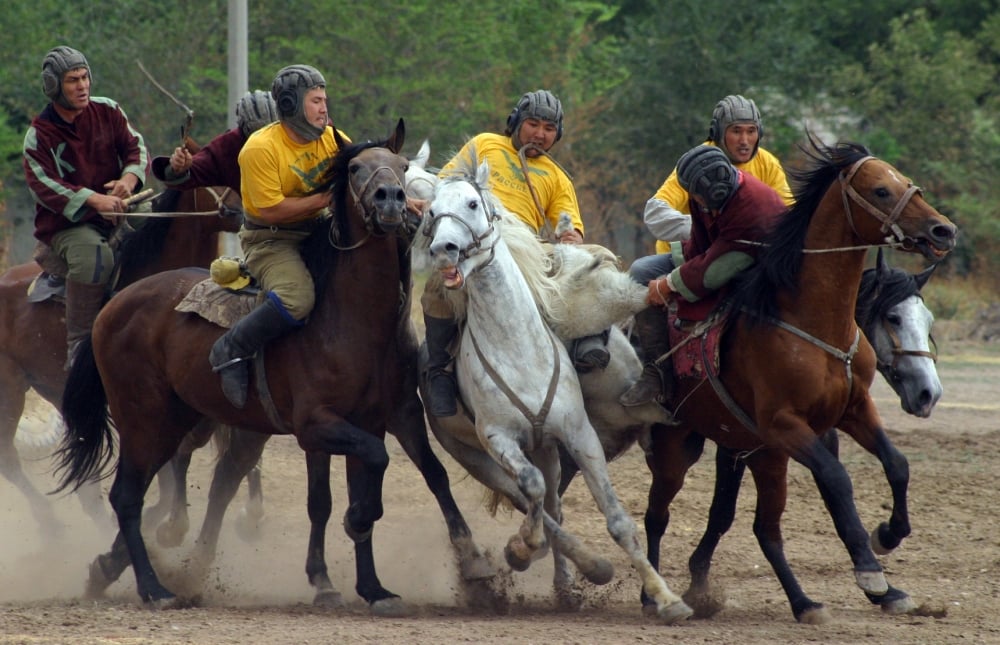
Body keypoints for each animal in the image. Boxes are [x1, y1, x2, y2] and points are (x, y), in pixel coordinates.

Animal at [53, 121, 442, 612]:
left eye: (402, 166)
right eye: (355, 168)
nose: (391, 200)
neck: (351, 320)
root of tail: (114, 305)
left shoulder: (370, 422)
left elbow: (367, 478)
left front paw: (373, 587)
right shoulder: (317, 426)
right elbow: (363, 478)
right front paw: (348, 539)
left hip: (177, 420)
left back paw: (118, 570)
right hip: (143, 421)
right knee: (127, 497)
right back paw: (154, 587)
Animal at [418, 161, 692, 624]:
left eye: (473, 204)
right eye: (432, 212)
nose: (444, 249)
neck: (518, 346)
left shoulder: (579, 434)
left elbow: (618, 520)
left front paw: (668, 598)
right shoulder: (498, 440)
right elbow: (529, 490)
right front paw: (522, 548)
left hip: (547, 448)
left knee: (552, 504)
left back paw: (568, 582)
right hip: (476, 456)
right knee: (531, 501)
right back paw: (564, 560)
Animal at [636, 140, 956, 624]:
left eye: (929, 321)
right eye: (881, 190)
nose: (943, 230)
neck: (810, 321)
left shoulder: (848, 413)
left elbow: (896, 464)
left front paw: (887, 541)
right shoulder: (782, 427)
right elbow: (836, 482)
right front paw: (870, 572)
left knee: (758, 527)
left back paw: (799, 601)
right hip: (678, 449)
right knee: (658, 515)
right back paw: (657, 594)